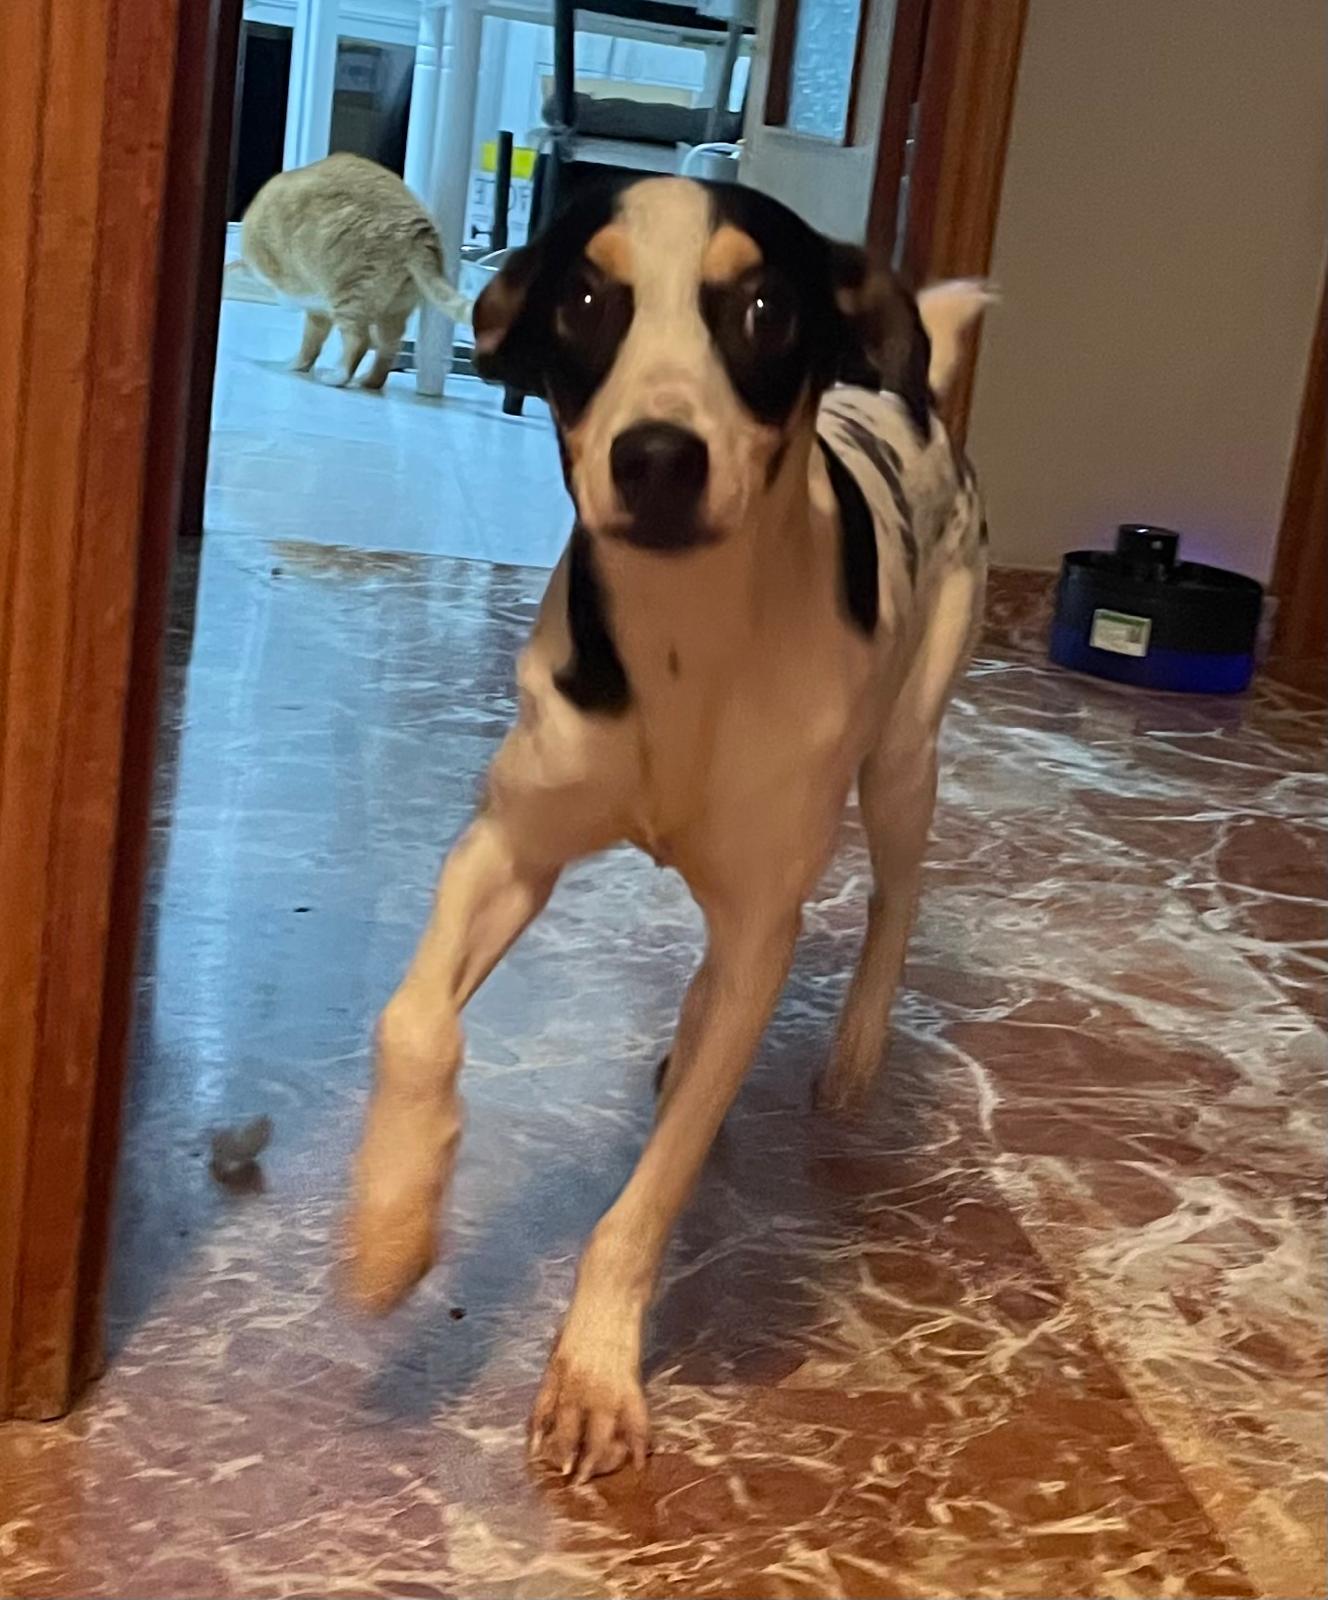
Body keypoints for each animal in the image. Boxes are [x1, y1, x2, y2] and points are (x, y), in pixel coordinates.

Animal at [239, 153, 472, 389]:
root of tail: (418, 231)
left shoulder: (312, 299)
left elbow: (310, 341)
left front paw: (296, 365)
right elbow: (313, 343)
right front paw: (301, 365)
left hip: (348, 295)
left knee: (359, 341)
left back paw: (338, 377)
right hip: (395, 308)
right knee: (389, 349)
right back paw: (369, 381)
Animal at [345, 176, 991, 1481]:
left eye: (763, 308)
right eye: (585, 300)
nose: (655, 456)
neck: (685, 639)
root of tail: (906, 394)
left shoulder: (760, 922)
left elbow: (648, 1198)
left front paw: (594, 1371)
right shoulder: (508, 848)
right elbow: (412, 1022)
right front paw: (392, 1216)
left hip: (901, 755)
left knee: (895, 894)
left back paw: (852, 1048)